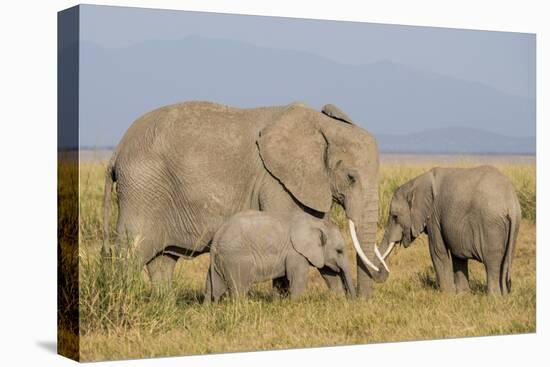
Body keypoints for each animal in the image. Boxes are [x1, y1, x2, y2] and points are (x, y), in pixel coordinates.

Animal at [205, 210, 356, 302]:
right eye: (339, 251)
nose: (353, 301)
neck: (317, 223)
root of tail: (217, 237)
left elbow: (328, 274)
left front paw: (338, 300)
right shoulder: (295, 252)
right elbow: (298, 278)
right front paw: (294, 304)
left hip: (220, 260)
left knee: (212, 288)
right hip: (236, 260)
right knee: (239, 290)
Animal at [382, 167, 524, 296]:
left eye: (395, 216)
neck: (416, 182)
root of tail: (511, 203)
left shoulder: (434, 215)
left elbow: (437, 251)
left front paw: (447, 294)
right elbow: (458, 253)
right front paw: (462, 294)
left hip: (491, 224)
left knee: (492, 262)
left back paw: (493, 297)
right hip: (512, 228)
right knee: (505, 261)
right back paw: (504, 296)